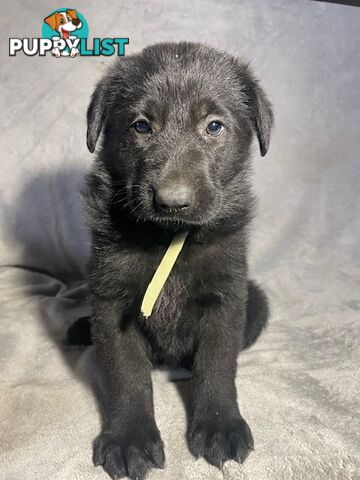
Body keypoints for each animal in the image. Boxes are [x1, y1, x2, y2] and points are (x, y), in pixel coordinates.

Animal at [69, 42, 272, 480]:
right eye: (141, 126)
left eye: (214, 126)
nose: (172, 201)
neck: (170, 239)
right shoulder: (110, 301)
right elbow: (127, 373)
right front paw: (129, 438)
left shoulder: (227, 295)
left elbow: (217, 363)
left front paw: (219, 426)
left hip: (257, 300)